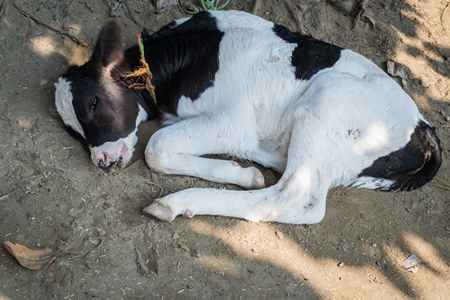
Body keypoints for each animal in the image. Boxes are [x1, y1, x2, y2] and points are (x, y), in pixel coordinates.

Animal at [54, 10, 442, 224]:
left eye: (92, 104)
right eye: (72, 132)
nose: (102, 160)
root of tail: (424, 130)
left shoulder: (230, 121)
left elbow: (156, 148)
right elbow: (164, 149)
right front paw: (243, 173)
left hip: (328, 100)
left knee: (294, 199)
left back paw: (176, 203)